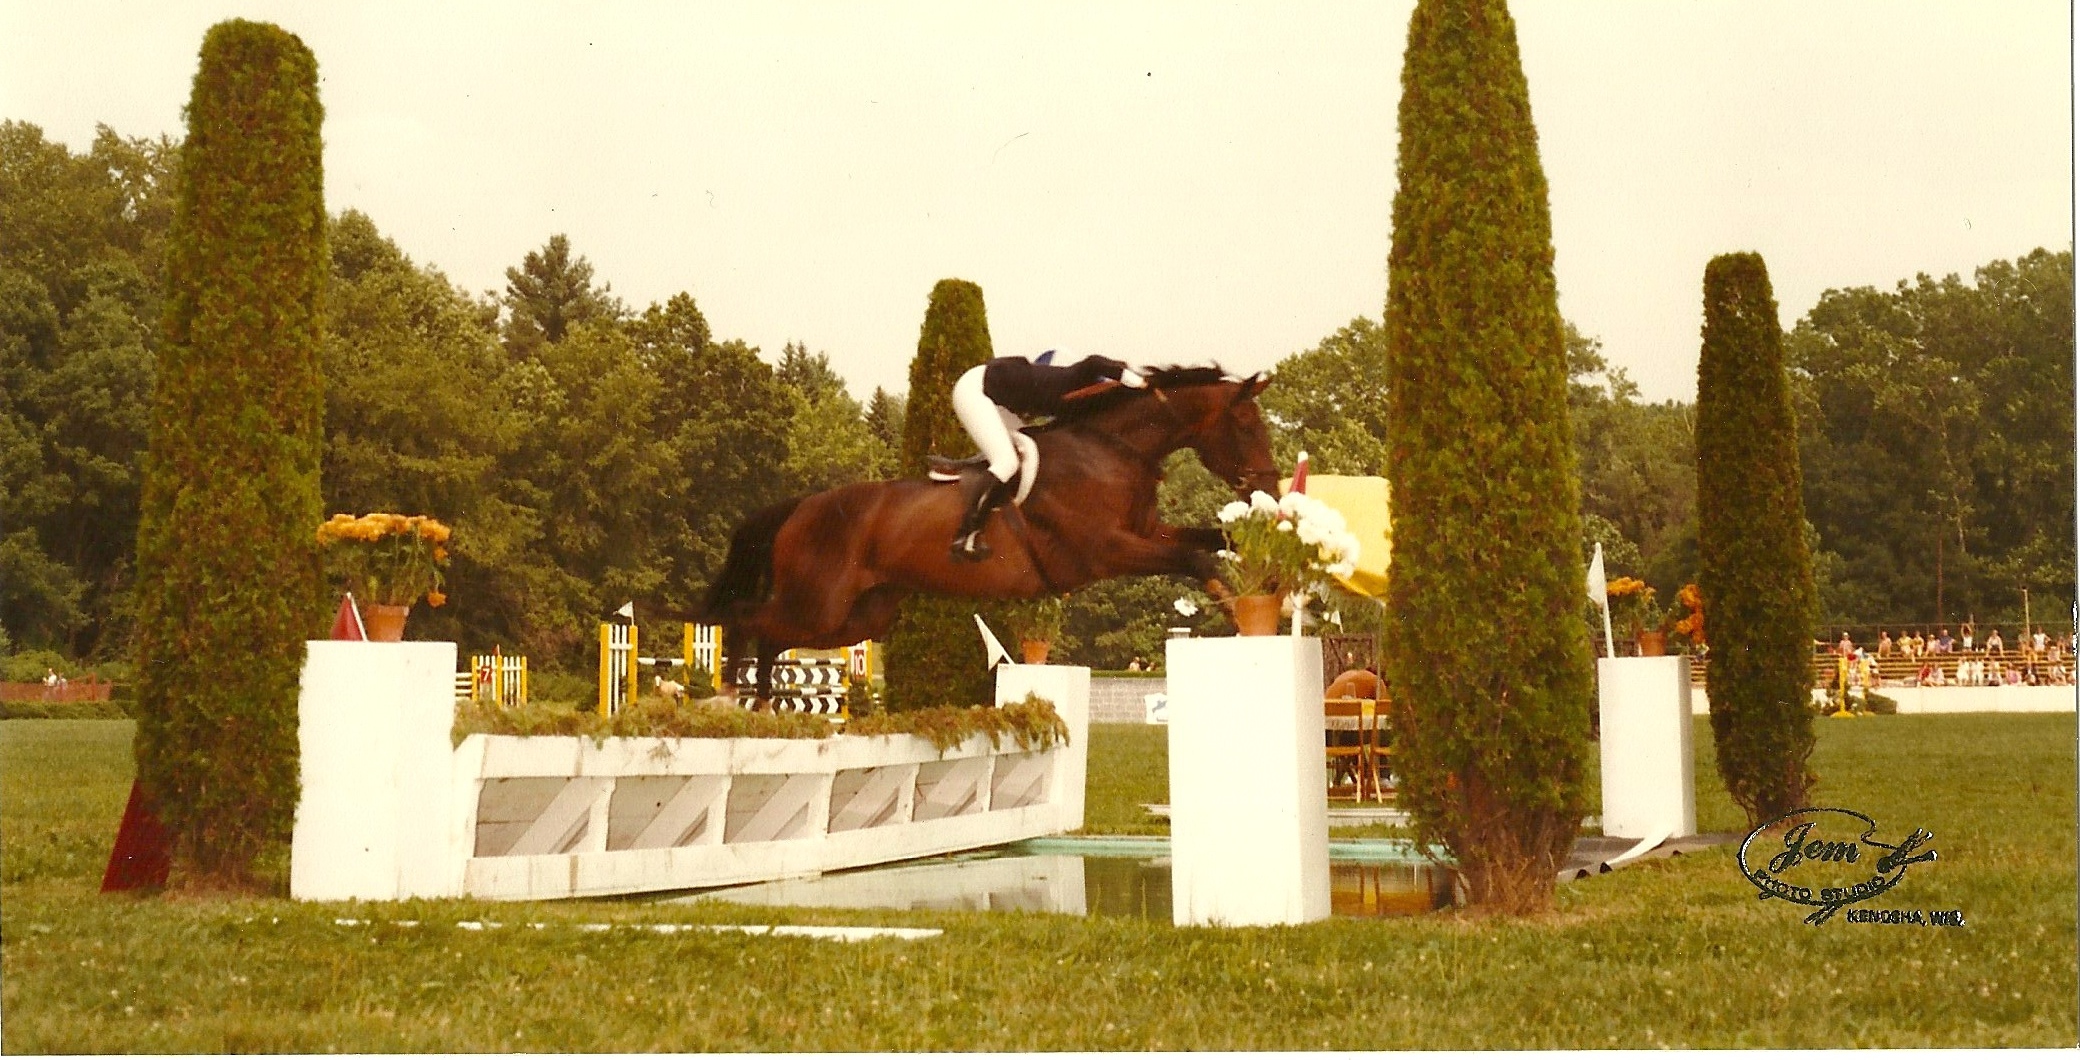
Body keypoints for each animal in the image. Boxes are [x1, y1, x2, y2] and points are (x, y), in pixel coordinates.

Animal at [698, 366, 1281, 703]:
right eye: (1247, 426)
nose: (1270, 488)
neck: (1112, 452)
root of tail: (800, 507)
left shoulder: (1148, 532)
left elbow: (1211, 541)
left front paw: (1270, 581)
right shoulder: (1108, 551)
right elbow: (1193, 559)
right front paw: (1234, 606)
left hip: (855, 617)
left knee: (772, 637)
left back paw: (762, 701)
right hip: (819, 606)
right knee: (747, 619)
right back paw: (729, 695)